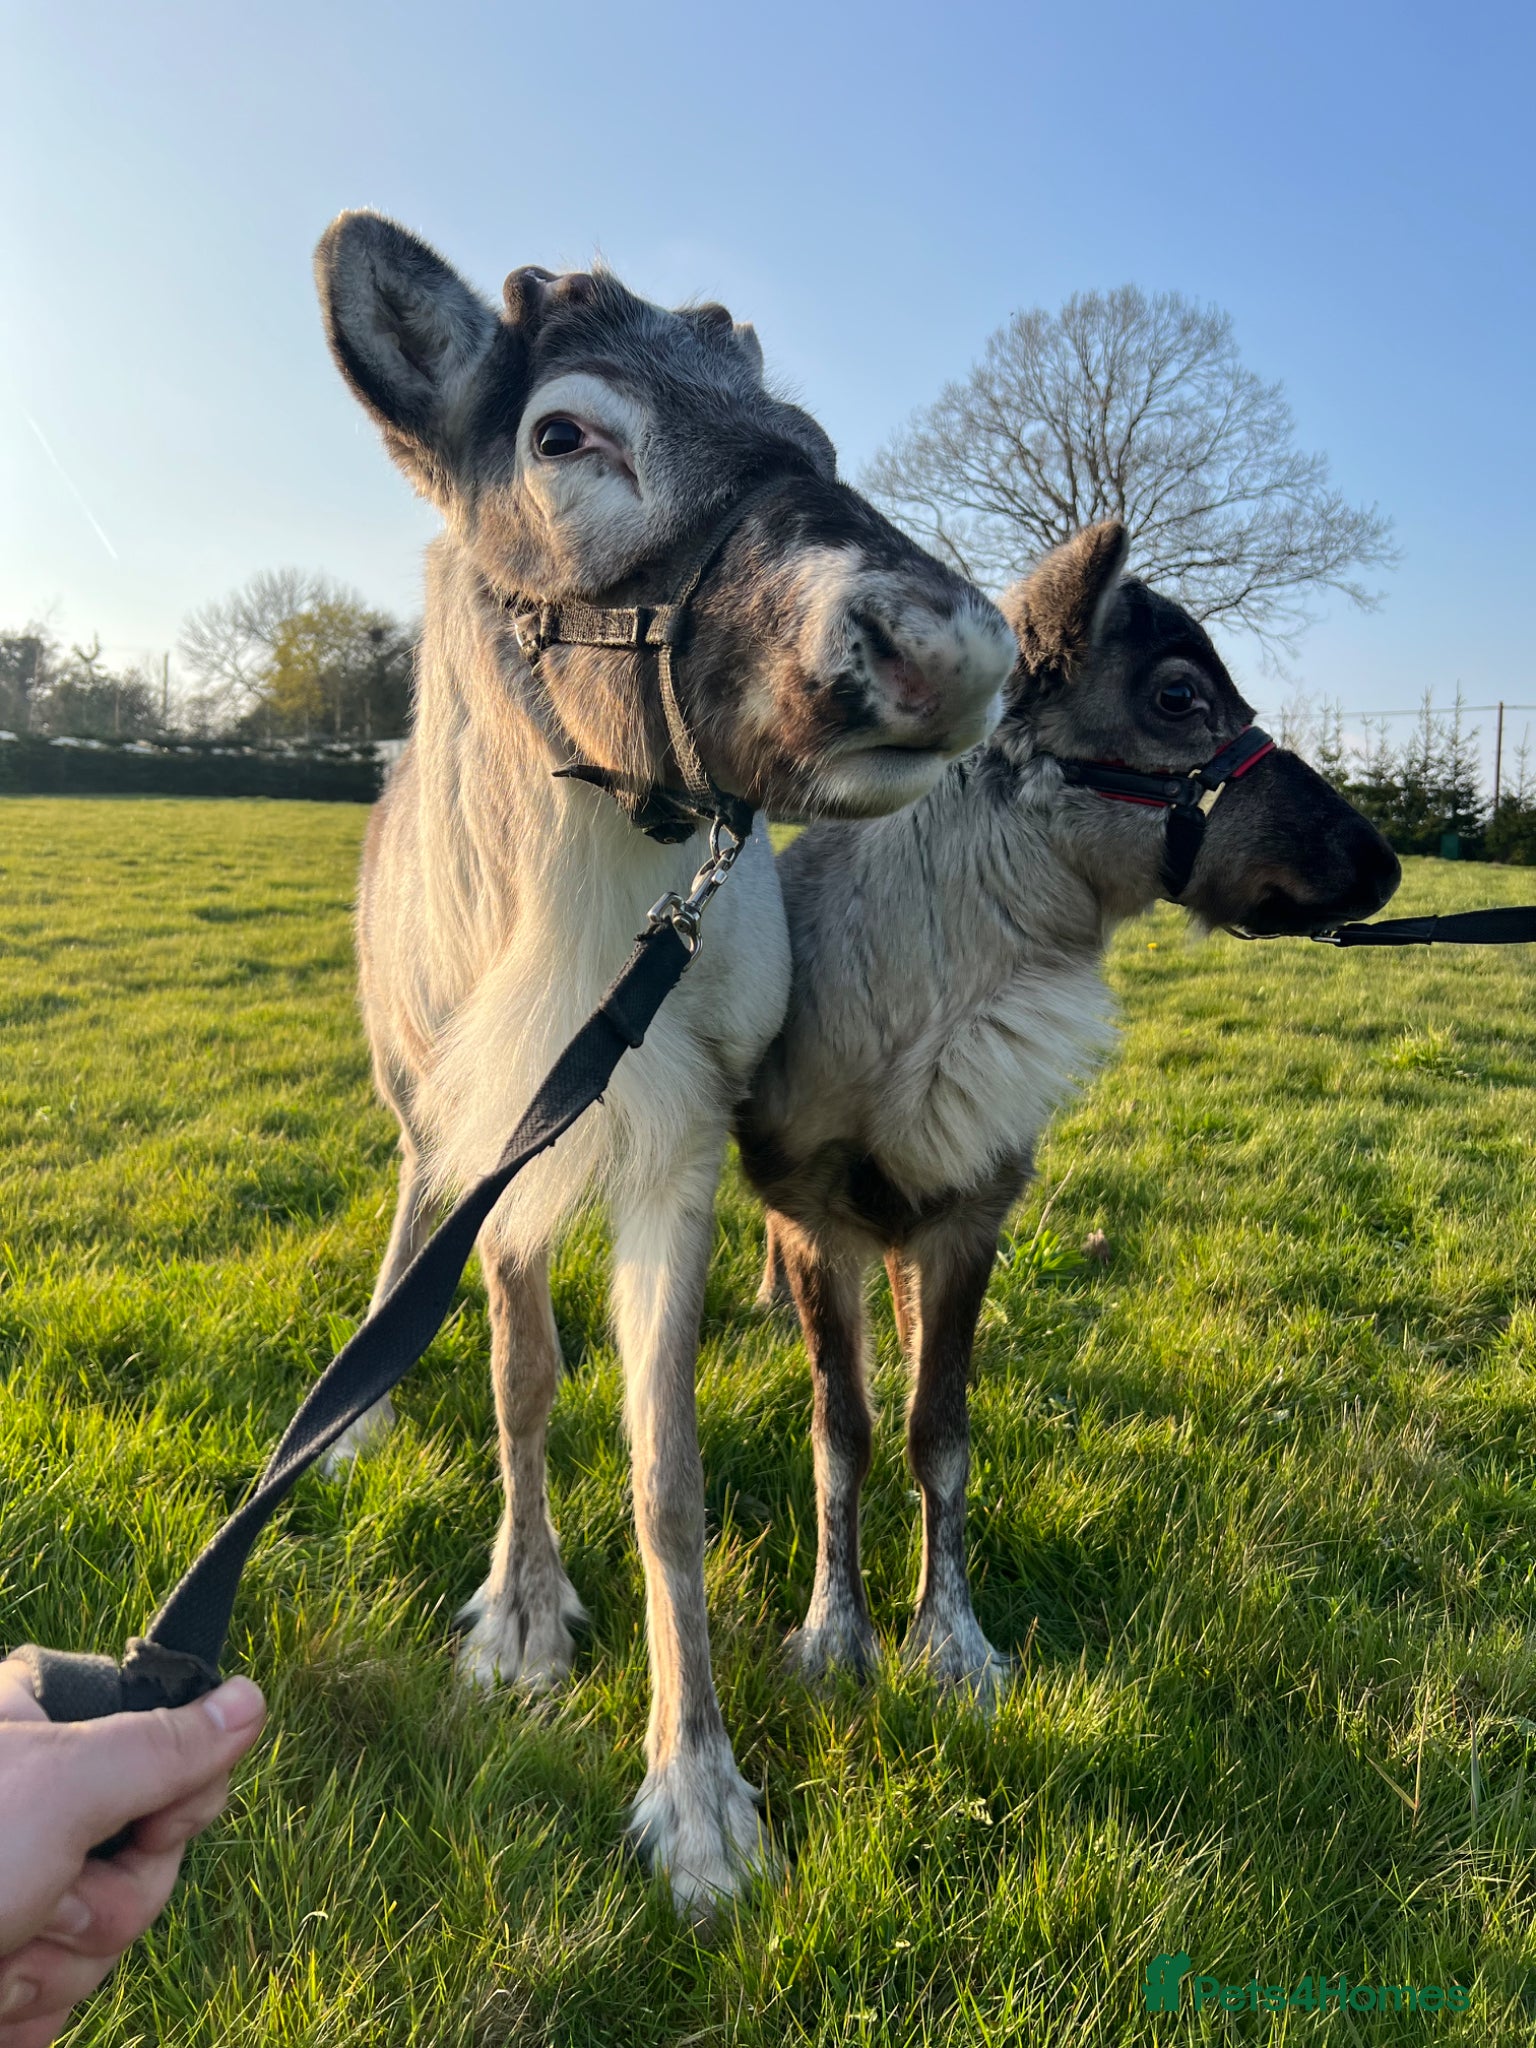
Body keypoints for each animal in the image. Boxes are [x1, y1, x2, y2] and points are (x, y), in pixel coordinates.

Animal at [311, 211, 1015, 1912]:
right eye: (565, 434)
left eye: (813, 439)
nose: (947, 647)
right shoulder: (501, 1127)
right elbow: (520, 1382)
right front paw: (520, 1618)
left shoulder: (683, 1137)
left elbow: (668, 1474)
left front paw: (698, 1793)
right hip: (413, 1098)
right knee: (409, 1211)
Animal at [736, 520, 1400, 1702]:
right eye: (1180, 694)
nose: (1383, 862)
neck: (932, 1020)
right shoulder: (815, 1214)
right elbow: (840, 1433)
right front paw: (835, 1638)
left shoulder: (970, 1211)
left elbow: (939, 1432)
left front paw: (951, 1644)